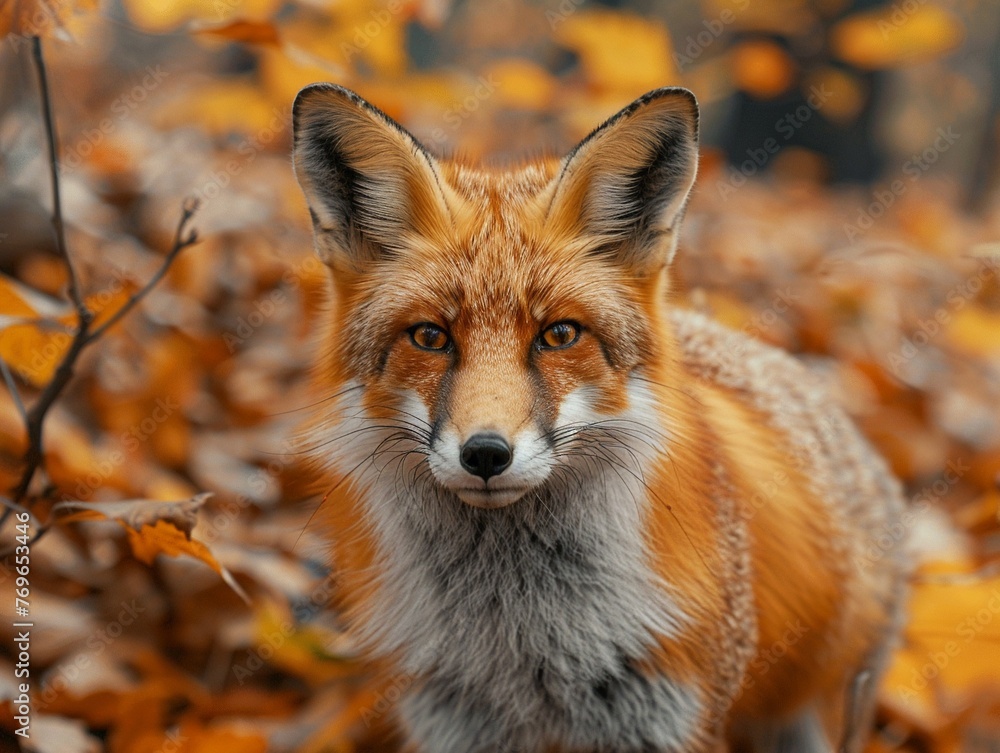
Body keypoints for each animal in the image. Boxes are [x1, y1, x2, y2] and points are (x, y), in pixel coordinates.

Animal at [290, 83, 910, 753]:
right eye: (430, 337)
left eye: (559, 335)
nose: (485, 454)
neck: (519, 636)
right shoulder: (456, 719)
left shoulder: (669, 712)